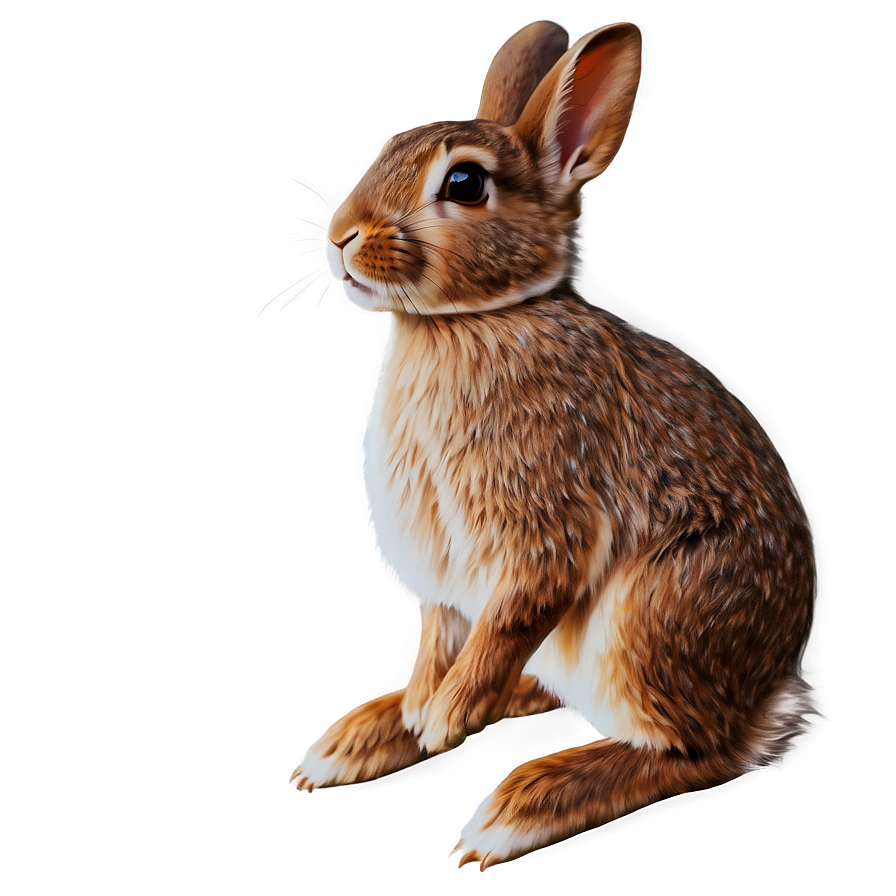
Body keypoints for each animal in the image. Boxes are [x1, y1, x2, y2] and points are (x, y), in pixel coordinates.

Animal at [291, 21, 815, 868]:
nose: (341, 237)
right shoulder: (441, 570)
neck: (468, 322)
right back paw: (361, 739)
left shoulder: (543, 525)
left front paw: (445, 719)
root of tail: (770, 693)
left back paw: (523, 807)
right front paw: (415, 717)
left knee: (695, 755)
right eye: (388, 149)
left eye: (464, 184)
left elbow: (507, 616)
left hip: (649, 621)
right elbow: (438, 633)